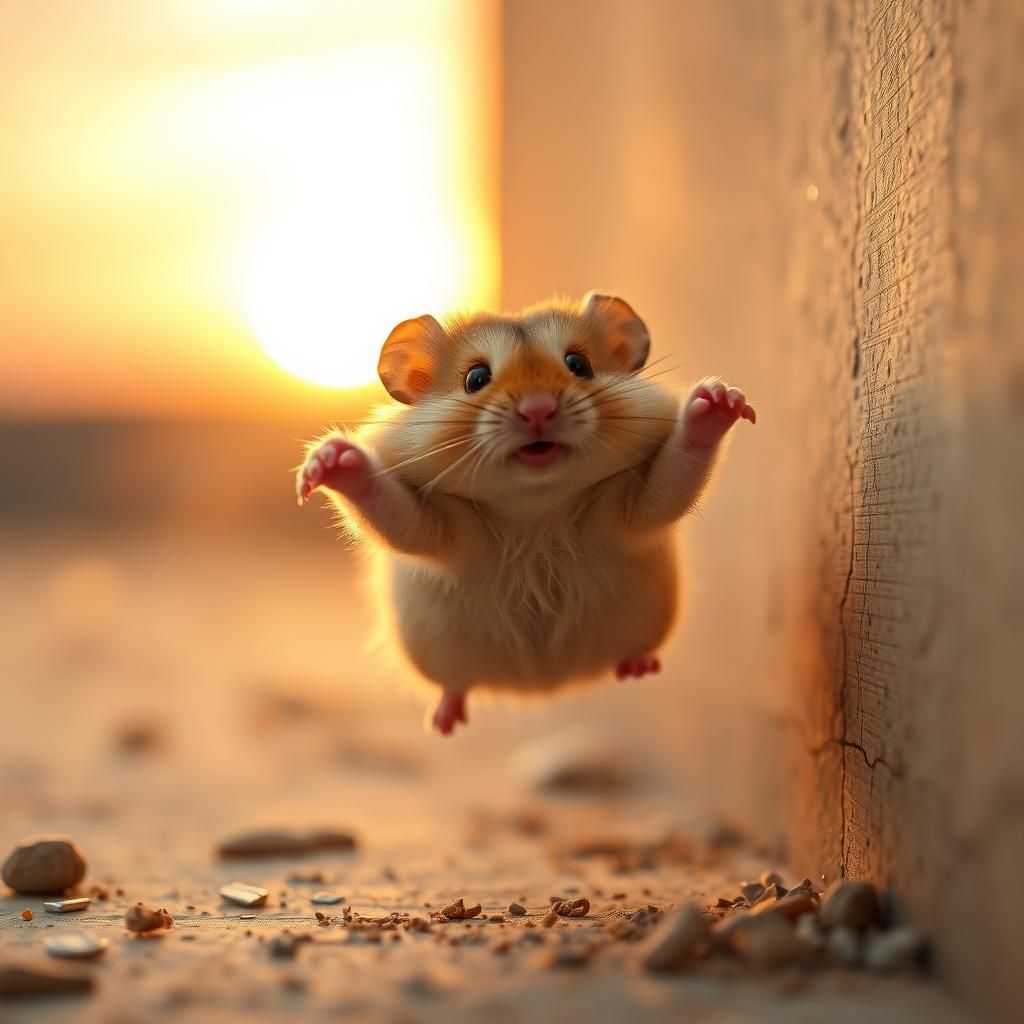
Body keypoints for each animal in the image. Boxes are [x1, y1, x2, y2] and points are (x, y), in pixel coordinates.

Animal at [296, 292, 755, 735]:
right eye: (475, 379)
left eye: (579, 365)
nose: (538, 410)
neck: (535, 508)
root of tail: (542, 689)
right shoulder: (441, 527)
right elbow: (389, 511)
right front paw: (326, 462)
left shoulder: (630, 506)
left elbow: (677, 475)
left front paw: (723, 400)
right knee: (454, 688)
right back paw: (442, 724)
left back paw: (638, 668)